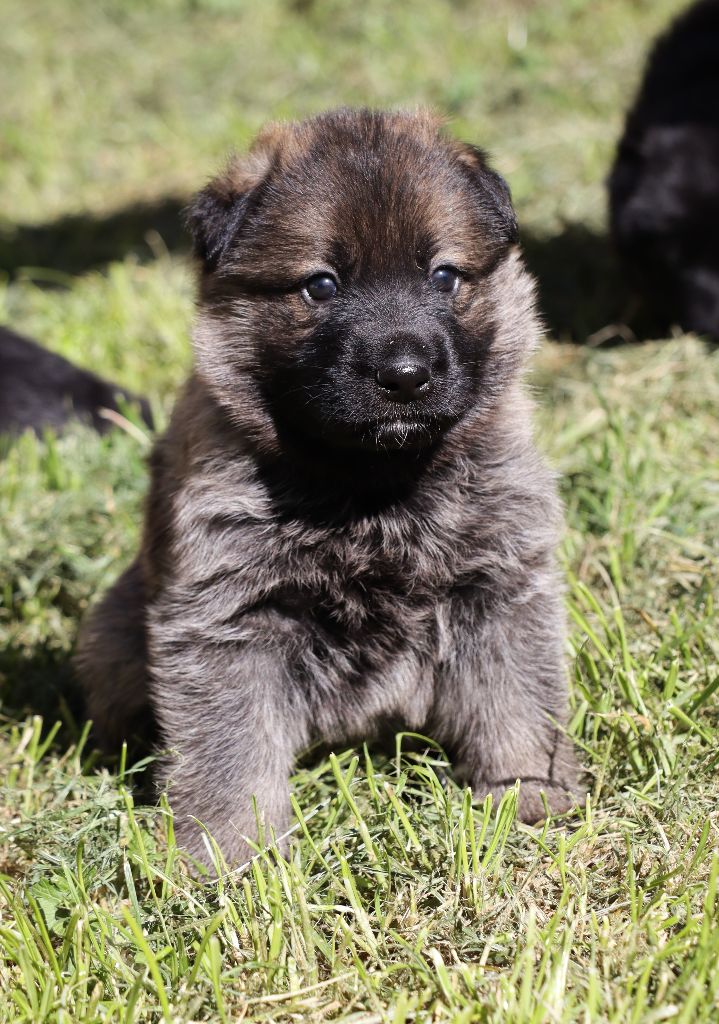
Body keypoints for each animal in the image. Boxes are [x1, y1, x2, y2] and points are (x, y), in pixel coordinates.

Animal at [75, 110, 581, 864]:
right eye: (321, 285)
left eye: (444, 276)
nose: (404, 373)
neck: (372, 485)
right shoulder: (230, 617)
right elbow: (229, 747)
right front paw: (231, 853)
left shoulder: (498, 585)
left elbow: (515, 699)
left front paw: (527, 794)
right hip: (113, 629)